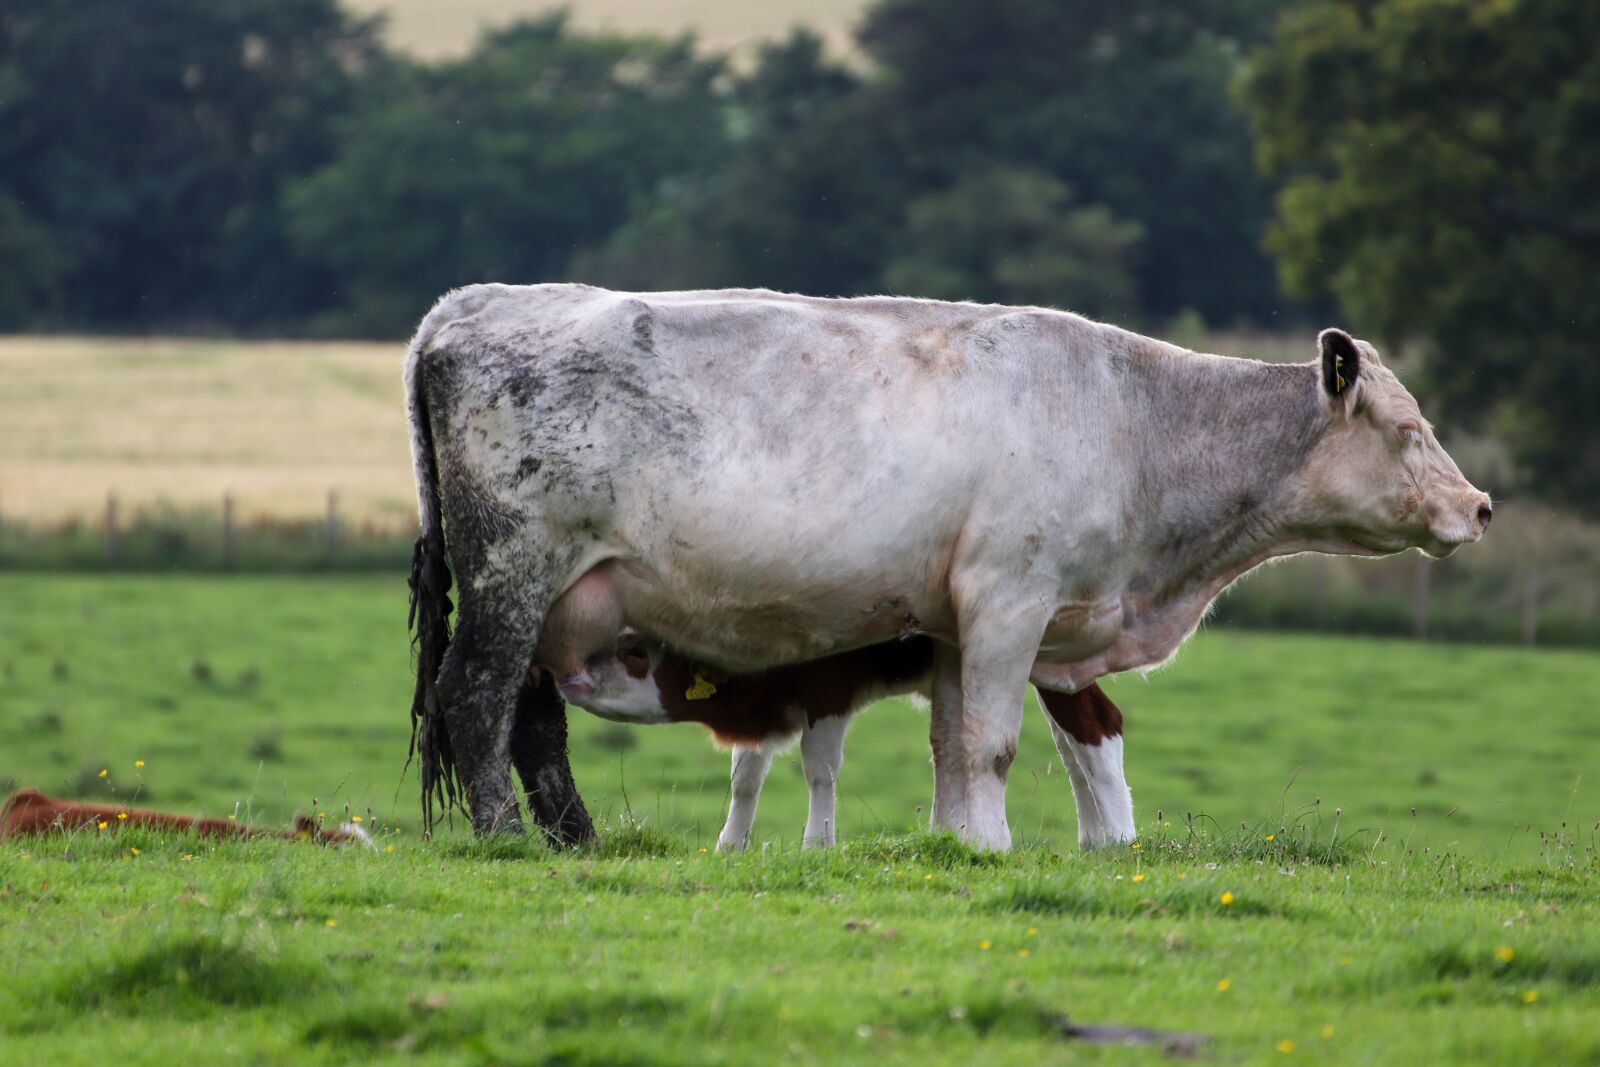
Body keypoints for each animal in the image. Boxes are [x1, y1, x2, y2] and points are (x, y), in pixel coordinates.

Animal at [405, 284, 1490, 849]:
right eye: (1407, 428)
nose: (1479, 506)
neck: (1137, 423)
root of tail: (474, 301)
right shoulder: (1013, 596)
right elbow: (994, 743)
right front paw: (995, 847)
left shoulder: (956, 619)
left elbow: (951, 743)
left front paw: (959, 843)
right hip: (514, 568)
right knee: (478, 693)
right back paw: (505, 834)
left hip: (563, 596)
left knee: (534, 717)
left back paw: (578, 839)